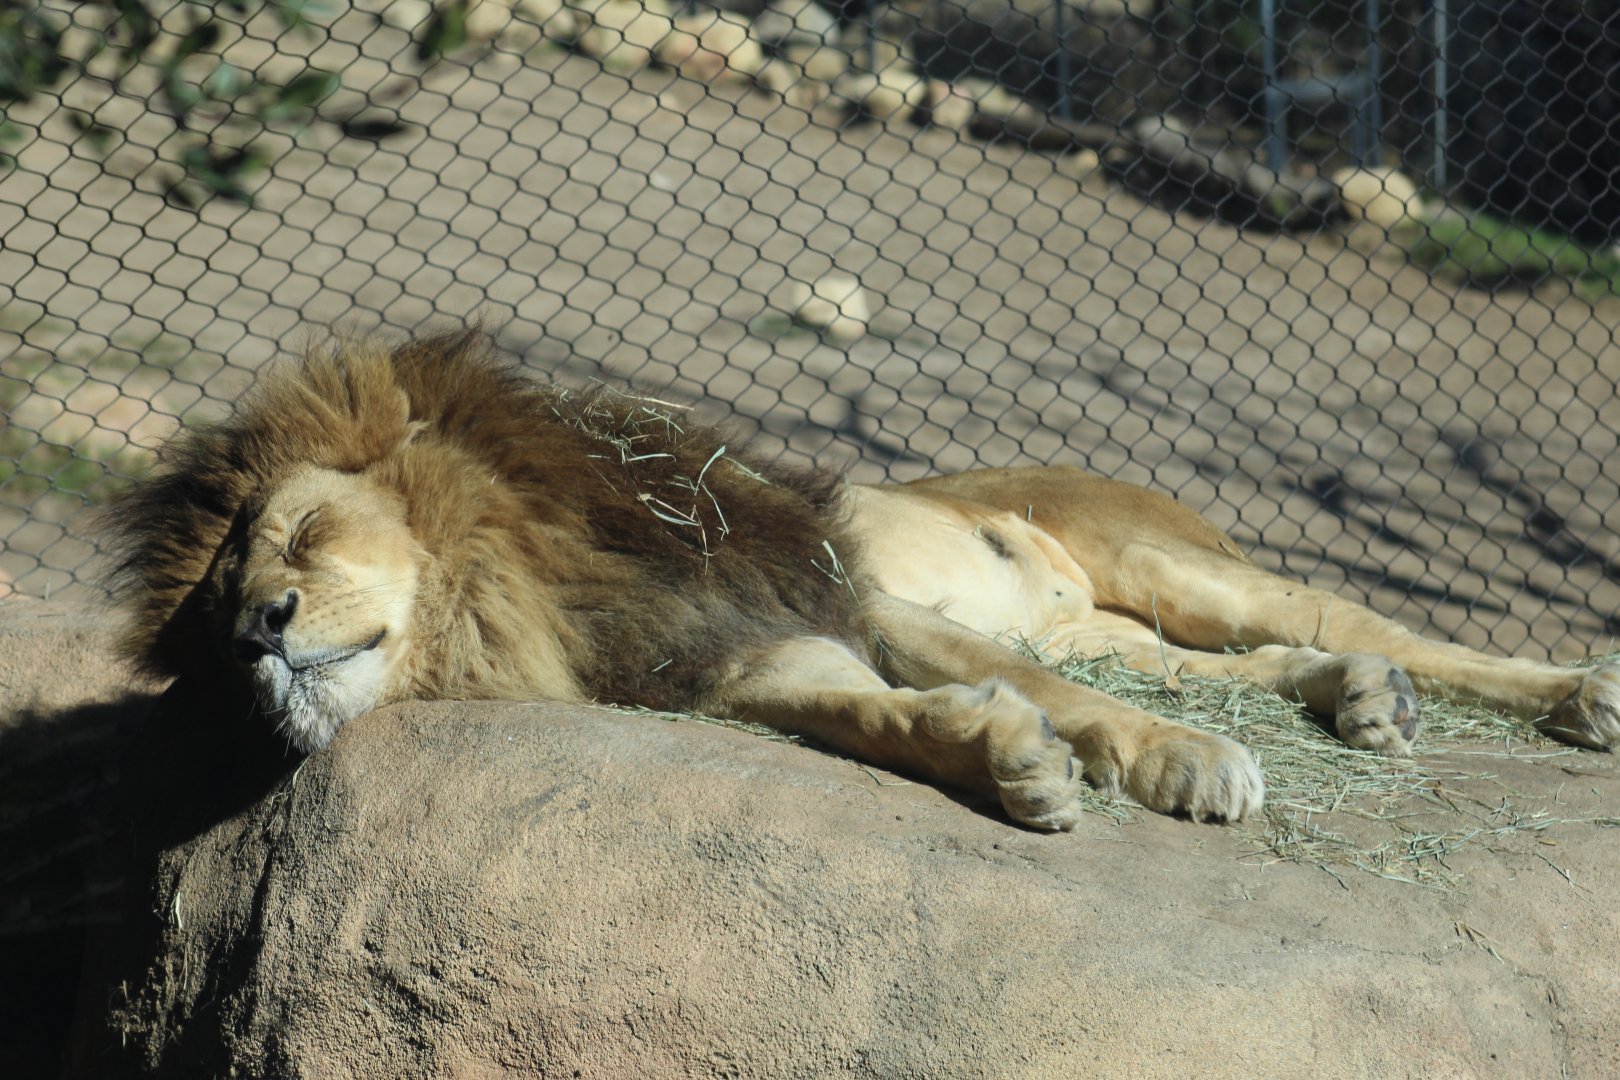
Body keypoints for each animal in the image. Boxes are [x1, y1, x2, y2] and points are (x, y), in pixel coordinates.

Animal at [103, 330, 1620, 830]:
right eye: (218, 610)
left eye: (302, 537)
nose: (259, 634)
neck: (515, 582)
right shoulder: (727, 659)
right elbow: (872, 715)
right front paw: (1007, 764)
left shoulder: (841, 590)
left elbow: (1047, 695)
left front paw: (1180, 769)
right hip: (1123, 622)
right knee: (1238, 665)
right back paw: (1362, 701)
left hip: (1173, 563)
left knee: (1361, 625)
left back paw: (1571, 696)